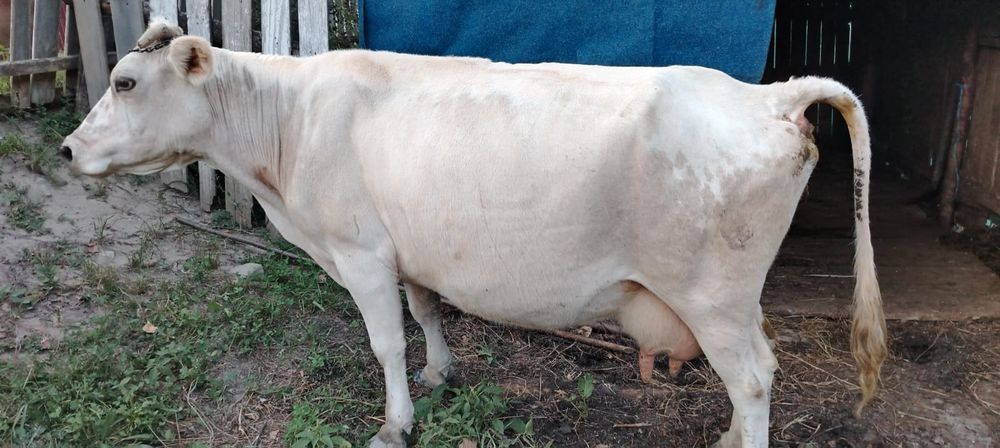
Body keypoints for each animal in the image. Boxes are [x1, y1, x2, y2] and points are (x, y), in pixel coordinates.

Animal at [60, 21, 887, 448]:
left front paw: (396, 423)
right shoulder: (409, 249)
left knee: (751, 378)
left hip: (712, 295)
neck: (287, 122)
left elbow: (384, 343)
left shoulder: (361, 251)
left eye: (125, 83)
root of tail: (769, 95)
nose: (67, 150)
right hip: (733, 300)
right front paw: (439, 373)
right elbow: (426, 312)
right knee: (761, 369)